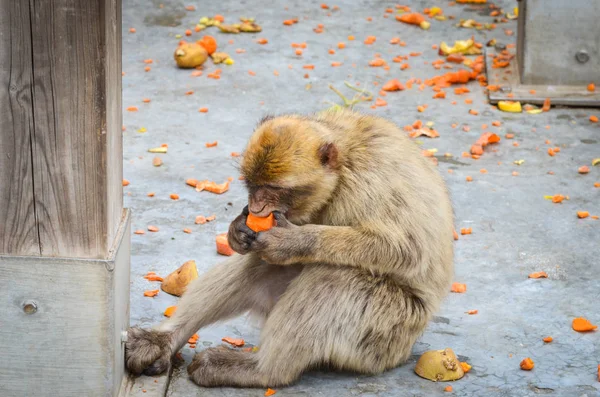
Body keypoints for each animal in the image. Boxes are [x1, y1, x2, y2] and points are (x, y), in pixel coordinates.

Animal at [126, 107, 454, 386]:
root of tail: (405, 349)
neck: (342, 170)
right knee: (259, 263)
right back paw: (162, 342)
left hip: (386, 334)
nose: (256, 209)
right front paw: (237, 229)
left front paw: (293, 241)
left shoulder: (371, 183)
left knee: (335, 277)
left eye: (274, 189)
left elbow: (404, 250)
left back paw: (261, 370)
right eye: (252, 185)